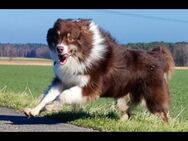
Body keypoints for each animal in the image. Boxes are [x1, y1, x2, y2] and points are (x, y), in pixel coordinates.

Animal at [23, 18, 175, 122]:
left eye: (70, 38)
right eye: (57, 36)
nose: (59, 49)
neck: (82, 55)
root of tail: (156, 56)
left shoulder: (90, 87)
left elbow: (64, 95)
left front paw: (51, 107)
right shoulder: (63, 80)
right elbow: (47, 96)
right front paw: (34, 110)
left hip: (152, 96)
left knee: (164, 114)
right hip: (123, 97)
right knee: (127, 112)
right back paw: (121, 122)